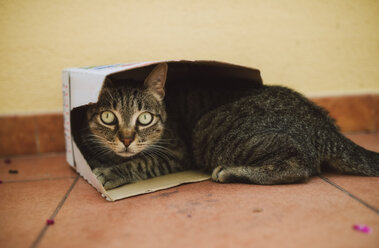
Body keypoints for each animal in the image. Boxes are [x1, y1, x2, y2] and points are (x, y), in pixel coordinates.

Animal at [73, 63, 379, 189]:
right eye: (108, 117)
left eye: (145, 118)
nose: (126, 139)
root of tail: (323, 124)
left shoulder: (176, 153)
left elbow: (142, 162)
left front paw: (110, 173)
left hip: (213, 131)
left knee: (299, 165)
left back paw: (229, 172)